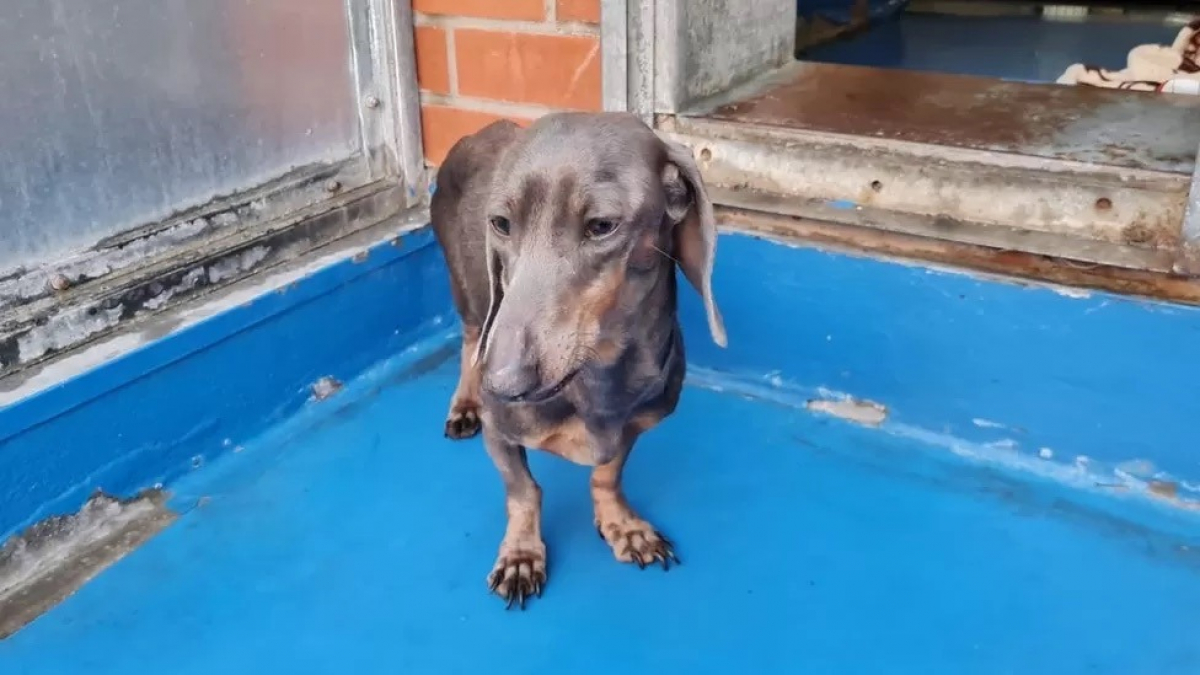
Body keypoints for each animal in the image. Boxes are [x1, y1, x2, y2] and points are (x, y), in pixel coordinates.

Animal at [434, 111, 724, 610]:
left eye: (602, 225)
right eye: (501, 223)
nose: (501, 385)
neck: (594, 379)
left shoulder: (633, 427)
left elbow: (606, 475)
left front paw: (622, 525)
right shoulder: (501, 433)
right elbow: (524, 492)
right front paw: (522, 556)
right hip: (467, 295)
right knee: (470, 339)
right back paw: (464, 402)